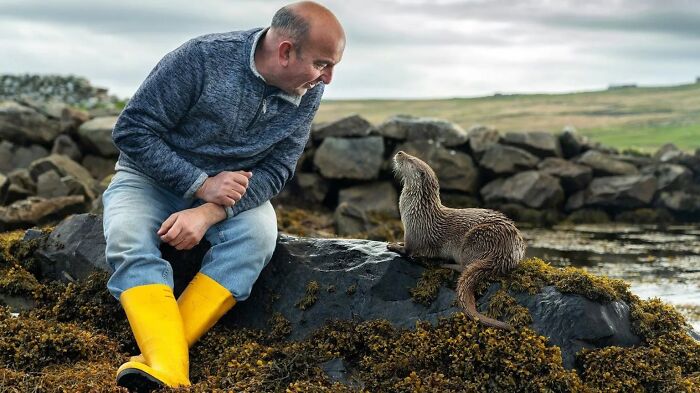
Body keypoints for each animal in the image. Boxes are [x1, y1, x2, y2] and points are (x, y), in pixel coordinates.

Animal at [388, 152, 524, 330]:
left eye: (411, 160)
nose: (400, 153)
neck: (417, 210)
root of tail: (505, 253)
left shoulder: (414, 232)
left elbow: (408, 250)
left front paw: (393, 245)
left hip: (475, 239)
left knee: (465, 266)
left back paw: (446, 264)